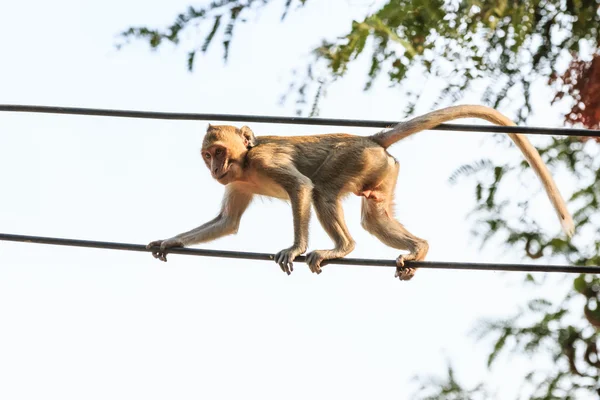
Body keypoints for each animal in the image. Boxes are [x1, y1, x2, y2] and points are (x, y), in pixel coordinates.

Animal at [148, 106, 576, 282]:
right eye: (208, 155)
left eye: (219, 152)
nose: (214, 168)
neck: (246, 163)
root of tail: (370, 139)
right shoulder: (237, 182)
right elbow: (228, 222)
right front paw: (169, 241)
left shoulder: (265, 161)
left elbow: (301, 187)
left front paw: (296, 247)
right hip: (381, 169)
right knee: (375, 214)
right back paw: (418, 250)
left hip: (353, 158)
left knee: (322, 192)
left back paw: (343, 247)